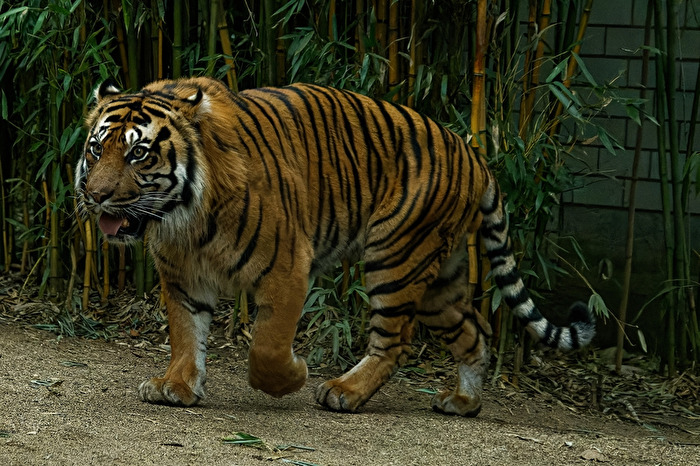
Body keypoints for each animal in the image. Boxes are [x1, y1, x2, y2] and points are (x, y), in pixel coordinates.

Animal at [75, 76, 595, 416]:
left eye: (138, 153)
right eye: (96, 149)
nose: (95, 195)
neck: (183, 218)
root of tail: (474, 152)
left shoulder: (287, 267)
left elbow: (266, 348)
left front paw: (295, 375)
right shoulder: (182, 277)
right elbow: (186, 334)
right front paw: (177, 386)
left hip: (395, 258)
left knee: (395, 342)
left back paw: (344, 392)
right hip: (439, 279)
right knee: (476, 330)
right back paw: (464, 401)